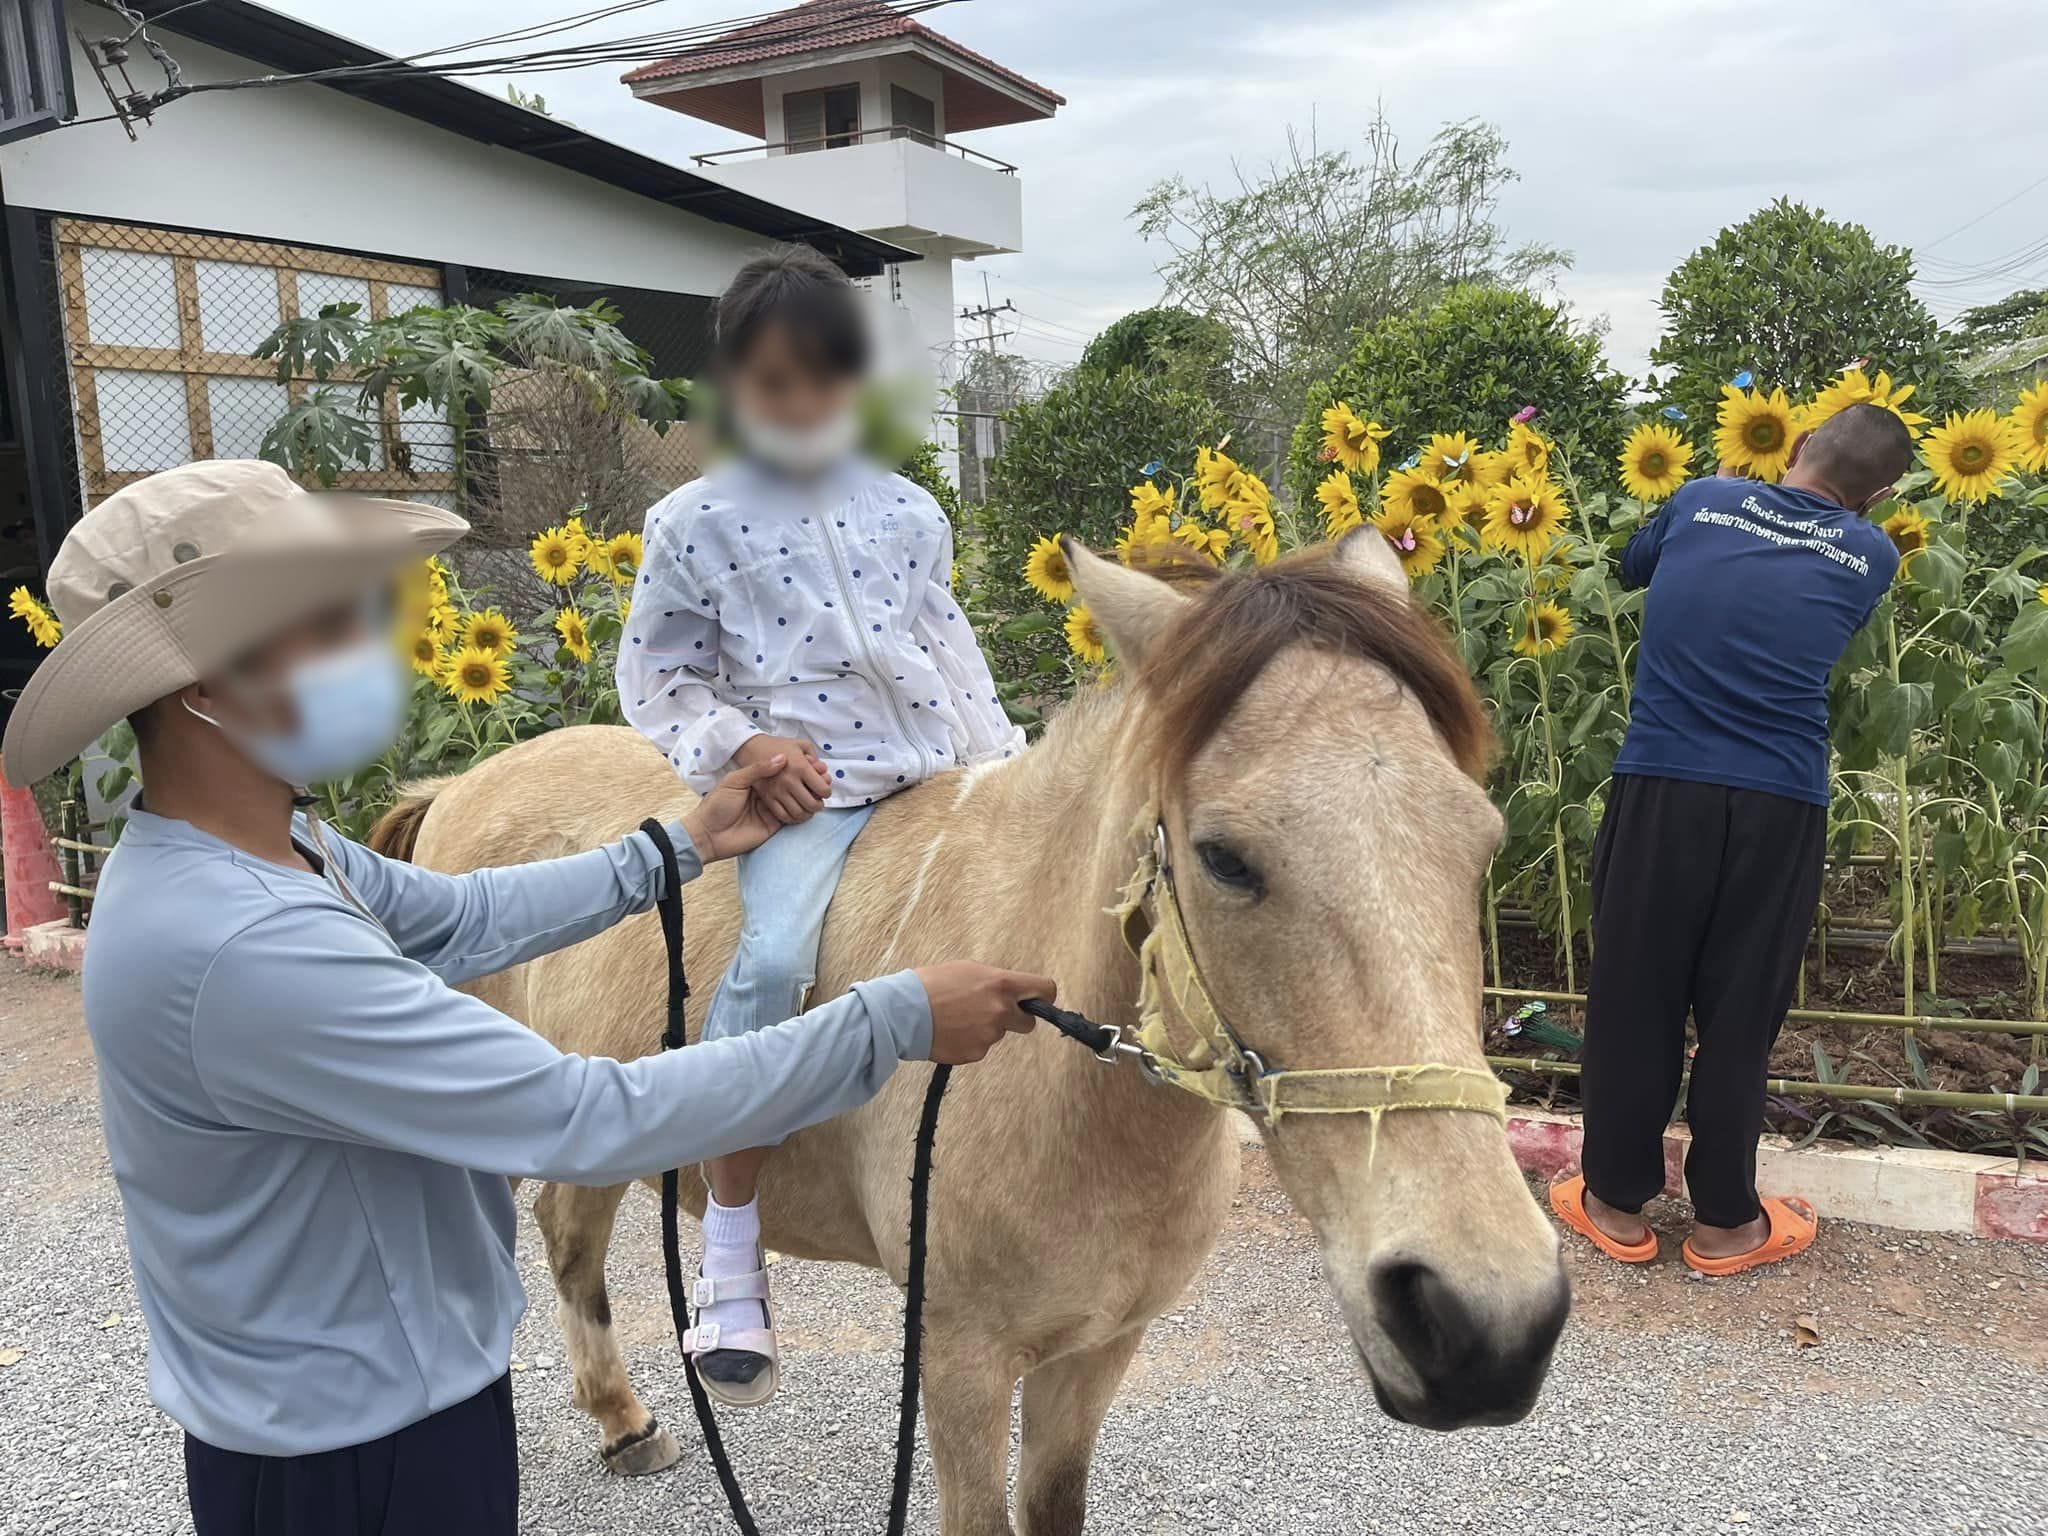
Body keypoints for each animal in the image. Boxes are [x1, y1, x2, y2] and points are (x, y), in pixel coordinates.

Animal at [372, 532, 1564, 1536]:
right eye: (1225, 858)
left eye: (1483, 838)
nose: (1485, 1325)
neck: (1066, 1093)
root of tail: (461, 785)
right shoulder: (958, 1360)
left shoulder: (1097, 1352)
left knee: (569, 1234)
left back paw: (624, 1419)